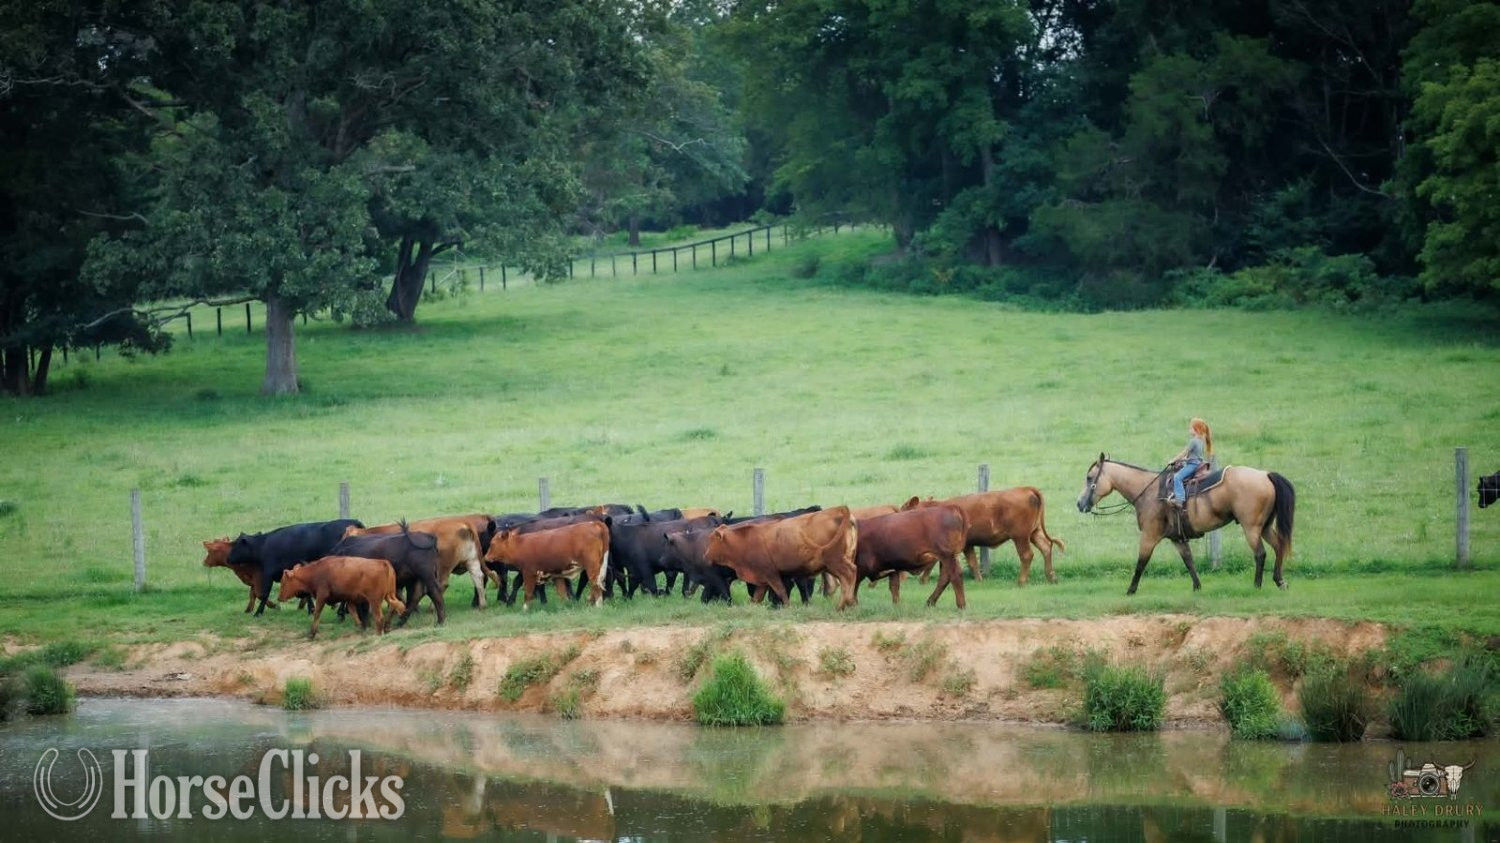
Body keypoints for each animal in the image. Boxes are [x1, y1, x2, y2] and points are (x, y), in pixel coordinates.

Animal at [1075, 453, 1295, 594]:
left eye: (1089, 478)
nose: (1079, 503)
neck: (1149, 492)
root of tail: (1265, 474)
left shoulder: (1149, 536)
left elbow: (1141, 562)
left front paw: (1130, 590)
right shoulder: (1177, 538)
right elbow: (1189, 561)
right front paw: (1197, 587)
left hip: (1251, 527)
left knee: (1260, 554)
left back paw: (1257, 585)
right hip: (1265, 527)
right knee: (1279, 546)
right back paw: (1280, 581)